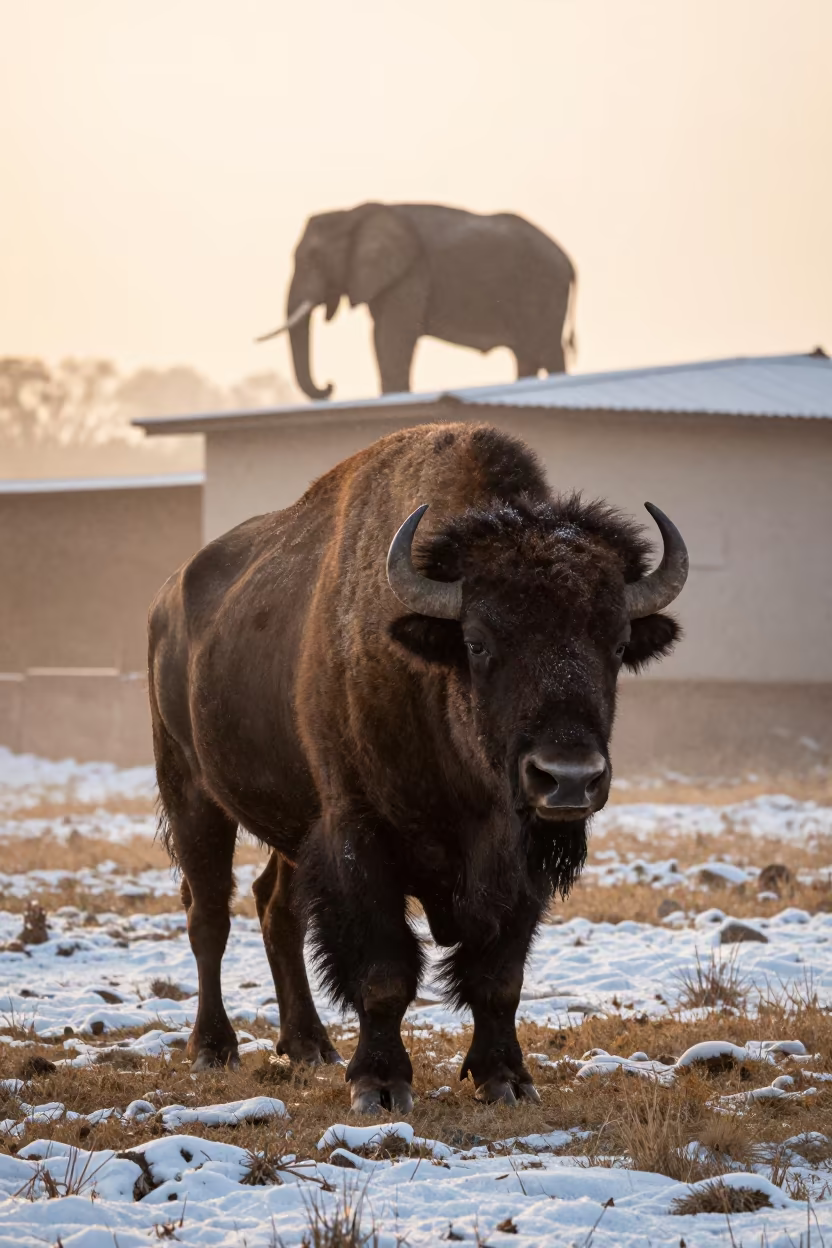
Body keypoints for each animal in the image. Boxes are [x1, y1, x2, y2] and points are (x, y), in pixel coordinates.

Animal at [148, 422, 687, 1113]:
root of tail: (169, 600)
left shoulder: (521, 863)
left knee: (276, 908)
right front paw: (379, 1086)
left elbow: (499, 978)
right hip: (192, 793)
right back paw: (215, 1049)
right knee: (209, 914)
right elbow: (384, 974)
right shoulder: (358, 840)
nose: (567, 777)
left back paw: (309, 1045)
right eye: (478, 642)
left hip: (292, 823)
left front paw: (507, 1080)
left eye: (618, 645)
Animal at [257, 202, 577, 399]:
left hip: (543, 287)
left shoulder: (410, 272)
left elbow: (392, 337)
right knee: (527, 356)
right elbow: (385, 337)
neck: (352, 213)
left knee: (548, 351)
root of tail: (569, 263)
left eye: (313, 259)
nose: (330, 386)